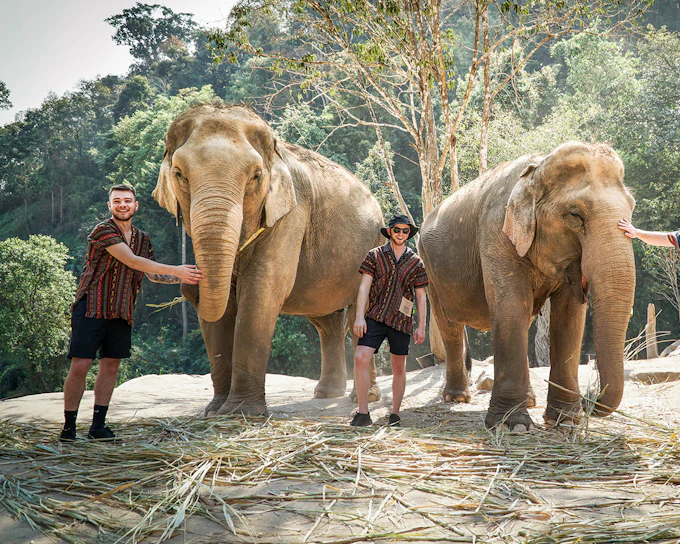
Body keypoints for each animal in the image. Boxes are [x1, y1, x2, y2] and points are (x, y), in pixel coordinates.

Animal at [153, 104, 384, 416]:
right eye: (179, 174)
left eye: (256, 176)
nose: (189, 286)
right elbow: (223, 309)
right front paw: (214, 411)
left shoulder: (291, 213)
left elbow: (261, 290)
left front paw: (241, 412)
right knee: (326, 321)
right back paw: (326, 394)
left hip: (374, 247)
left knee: (359, 315)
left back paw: (363, 398)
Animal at [418, 142, 635, 430]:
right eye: (575, 215)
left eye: (631, 209)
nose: (589, 397)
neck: (538, 167)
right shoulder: (495, 231)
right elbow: (512, 307)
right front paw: (511, 425)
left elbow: (569, 317)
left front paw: (565, 420)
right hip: (430, 268)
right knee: (449, 326)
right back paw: (457, 399)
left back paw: (530, 401)